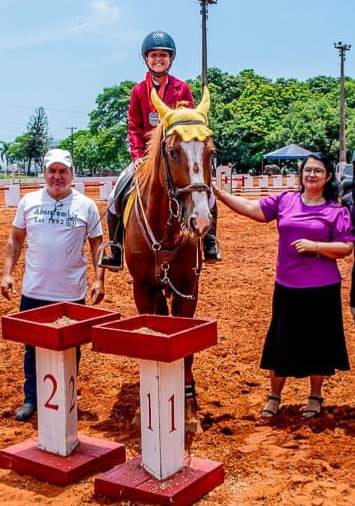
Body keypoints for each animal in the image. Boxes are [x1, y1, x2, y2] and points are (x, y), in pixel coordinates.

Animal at [124, 86, 216, 416]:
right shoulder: (141, 289)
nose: (200, 220)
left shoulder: (188, 289)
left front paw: (186, 395)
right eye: (173, 151)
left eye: (211, 152)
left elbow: (187, 343)